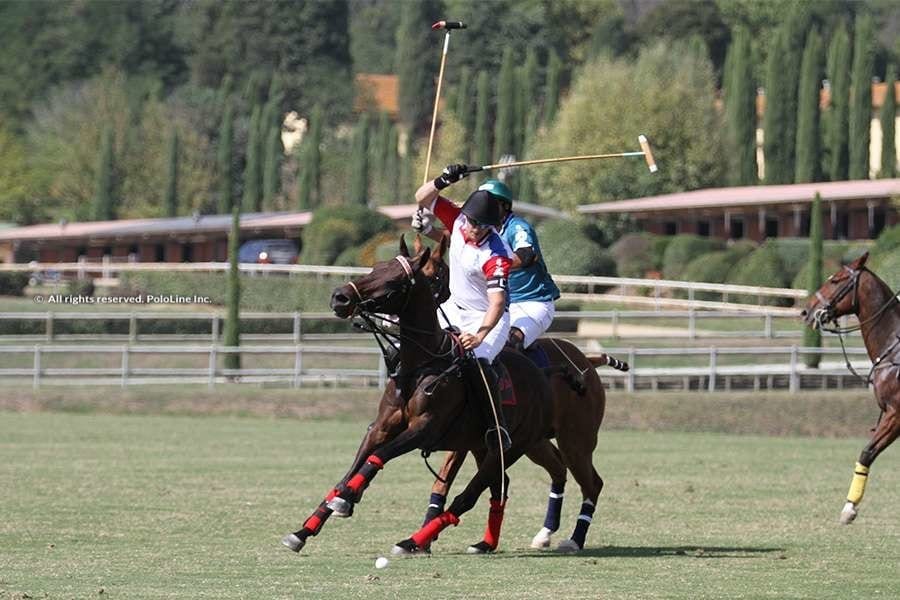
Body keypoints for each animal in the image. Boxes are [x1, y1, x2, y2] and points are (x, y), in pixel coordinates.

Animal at [284, 237, 560, 556]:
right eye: (375, 268)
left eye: (394, 281)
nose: (340, 297)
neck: (420, 365)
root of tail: (541, 375)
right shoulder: (381, 427)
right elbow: (349, 472)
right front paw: (304, 530)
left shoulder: (424, 428)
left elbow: (377, 457)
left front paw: (345, 501)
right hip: (481, 446)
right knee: (498, 486)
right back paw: (483, 542)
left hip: (516, 444)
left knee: (469, 495)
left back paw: (413, 541)